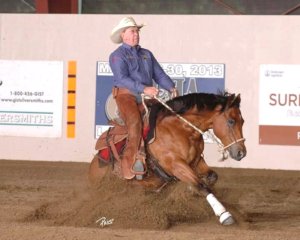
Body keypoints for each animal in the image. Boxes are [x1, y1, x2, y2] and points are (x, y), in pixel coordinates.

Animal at [88, 91, 246, 226]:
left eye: (242, 121)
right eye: (231, 121)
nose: (241, 153)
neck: (181, 130)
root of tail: (92, 167)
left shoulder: (196, 161)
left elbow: (211, 177)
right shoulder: (176, 165)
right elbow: (201, 185)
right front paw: (224, 214)